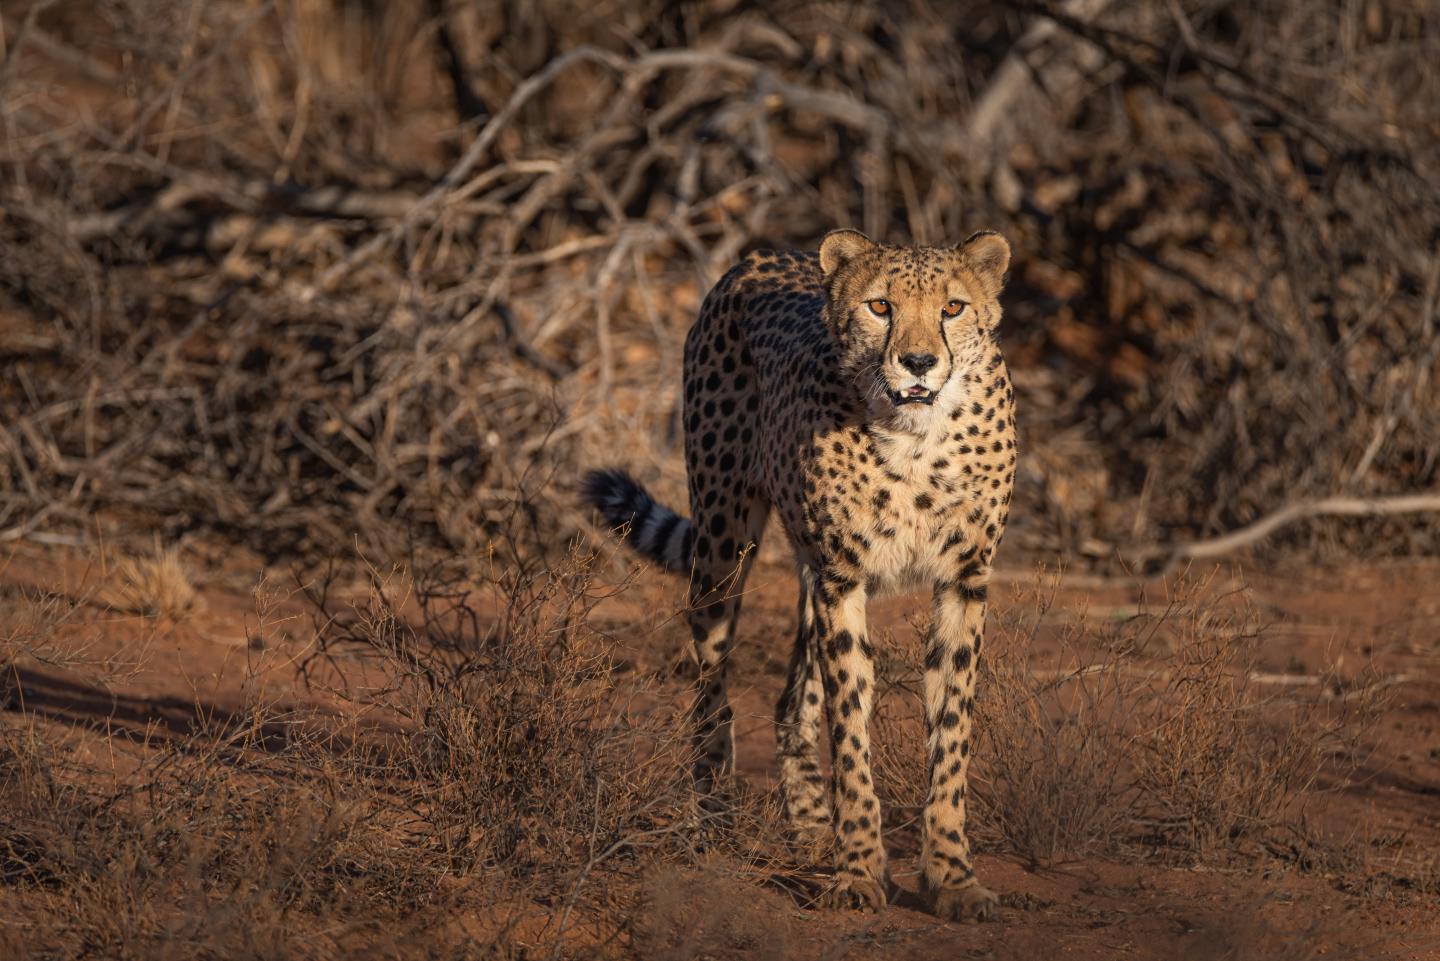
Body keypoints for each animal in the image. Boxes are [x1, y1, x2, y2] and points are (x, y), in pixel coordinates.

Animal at [581, 227, 1013, 922]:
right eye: (880, 307)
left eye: (953, 308)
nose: (919, 362)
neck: (916, 438)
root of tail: (764, 256)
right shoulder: (844, 577)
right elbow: (851, 730)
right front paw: (859, 869)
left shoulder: (963, 580)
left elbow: (951, 735)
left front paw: (951, 875)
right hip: (724, 541)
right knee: (711, 690)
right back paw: (715, 814)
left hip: (807, 568)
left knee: (790, 698)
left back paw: (810, 824)